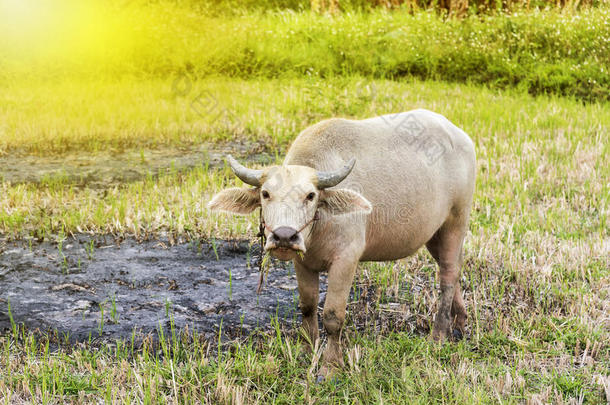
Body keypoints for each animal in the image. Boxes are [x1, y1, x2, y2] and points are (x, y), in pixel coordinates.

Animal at [209, 108, 476, 378]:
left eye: (310, 195)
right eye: (265, 194)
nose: (284, 236)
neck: (319, 227)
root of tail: (460, 136)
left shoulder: (346, 260)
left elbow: (332, 315)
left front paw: (331, 366)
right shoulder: (302, 263)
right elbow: (307, 306)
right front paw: (307, 351)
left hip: (456, 220)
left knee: (448, 276)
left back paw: (439, 335)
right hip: (434, 233)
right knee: (454, 269)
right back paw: (460, 323)